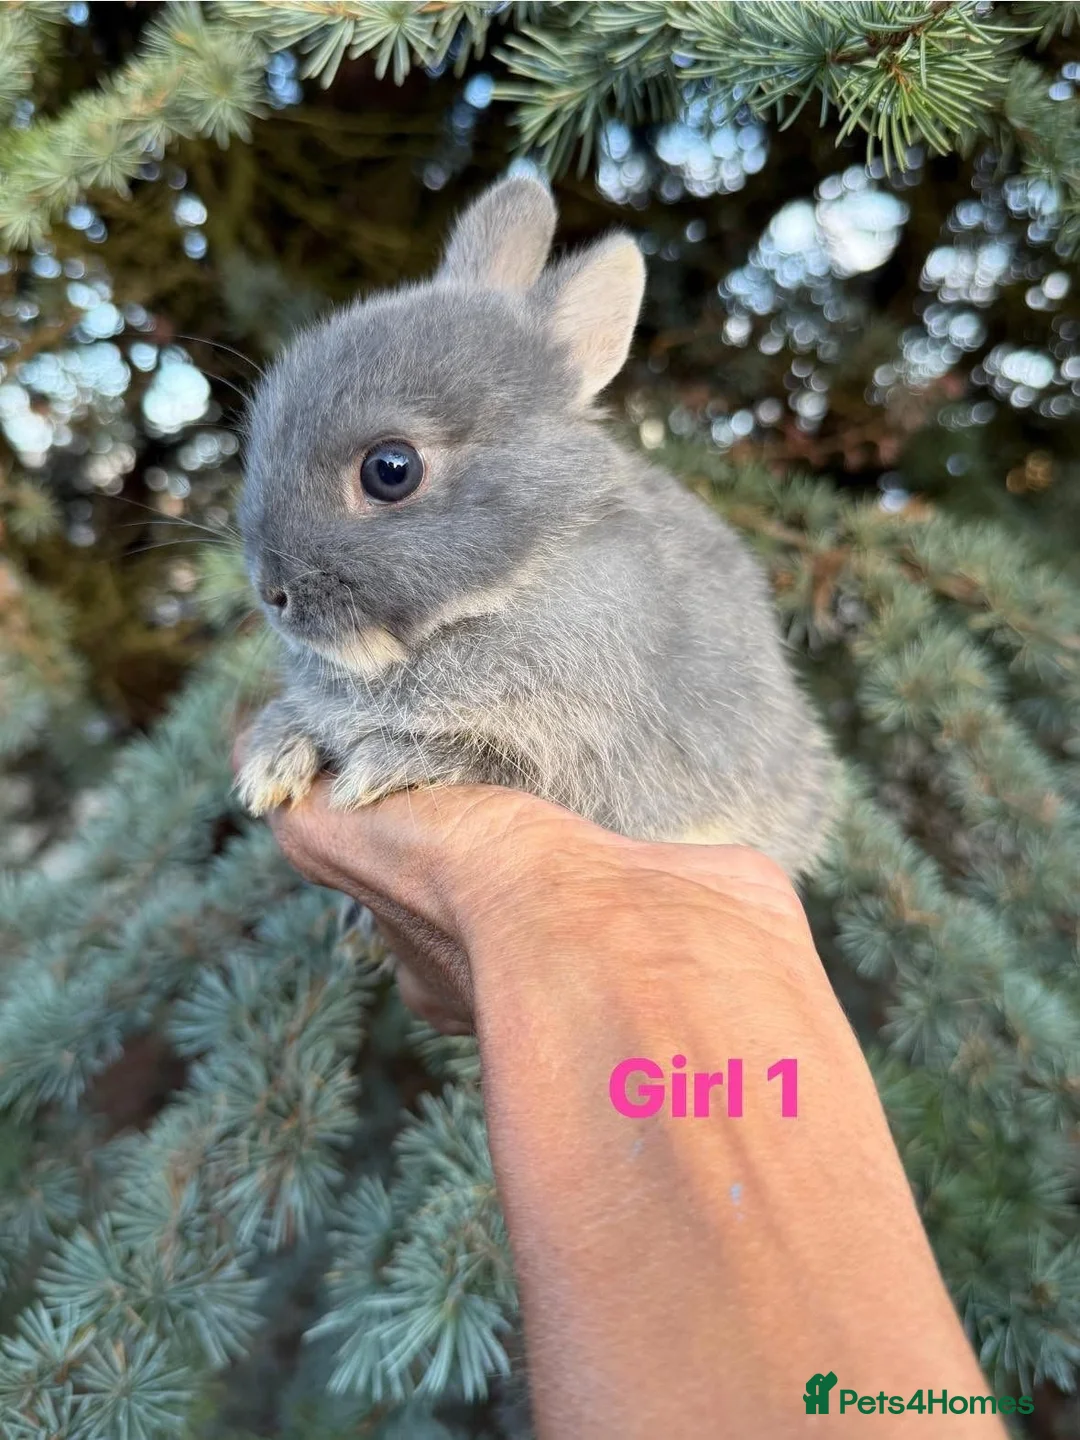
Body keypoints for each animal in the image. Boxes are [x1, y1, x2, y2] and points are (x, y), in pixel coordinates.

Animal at [235, 174, 835, 877]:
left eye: (391, 470)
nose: (272, 593)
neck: (510, 585)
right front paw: (272, 761)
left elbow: (493, 761)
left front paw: (388, 766)